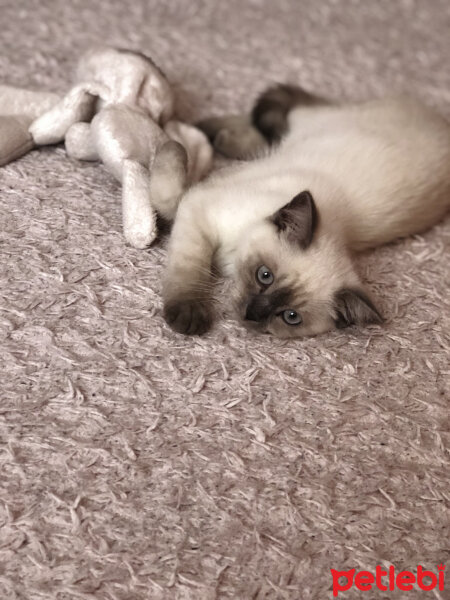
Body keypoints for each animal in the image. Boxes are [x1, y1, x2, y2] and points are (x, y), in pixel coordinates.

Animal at [159, 84, 450, 338]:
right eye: (264, 275)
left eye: (290, 317)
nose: (253, 314)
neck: (231, 259)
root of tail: (439, 120)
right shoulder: (199, 204)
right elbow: (189, 266)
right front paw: (188, 314)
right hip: (314, 123)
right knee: (286, 111)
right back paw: (201, 129)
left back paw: (220, 138)